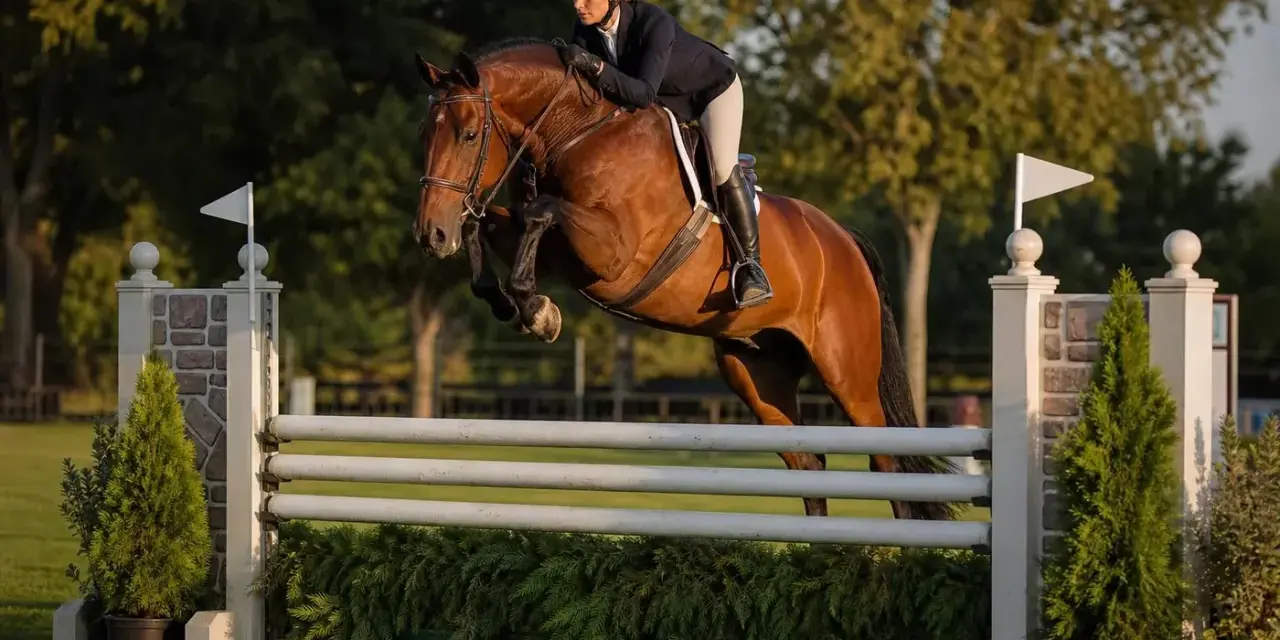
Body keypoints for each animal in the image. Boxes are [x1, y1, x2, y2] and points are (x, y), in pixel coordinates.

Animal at [411, 38, 958, 520]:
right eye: (425, 135)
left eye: (468, 134)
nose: (430, 234)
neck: (577, 132)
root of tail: (845, 241)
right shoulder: (559, 255)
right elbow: (492, 223)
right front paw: (508, 300)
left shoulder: (612, 254)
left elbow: (542, 211)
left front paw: (537, 311)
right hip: (758, 372)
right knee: (807, 462)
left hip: (848, 374)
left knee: (887, 464)